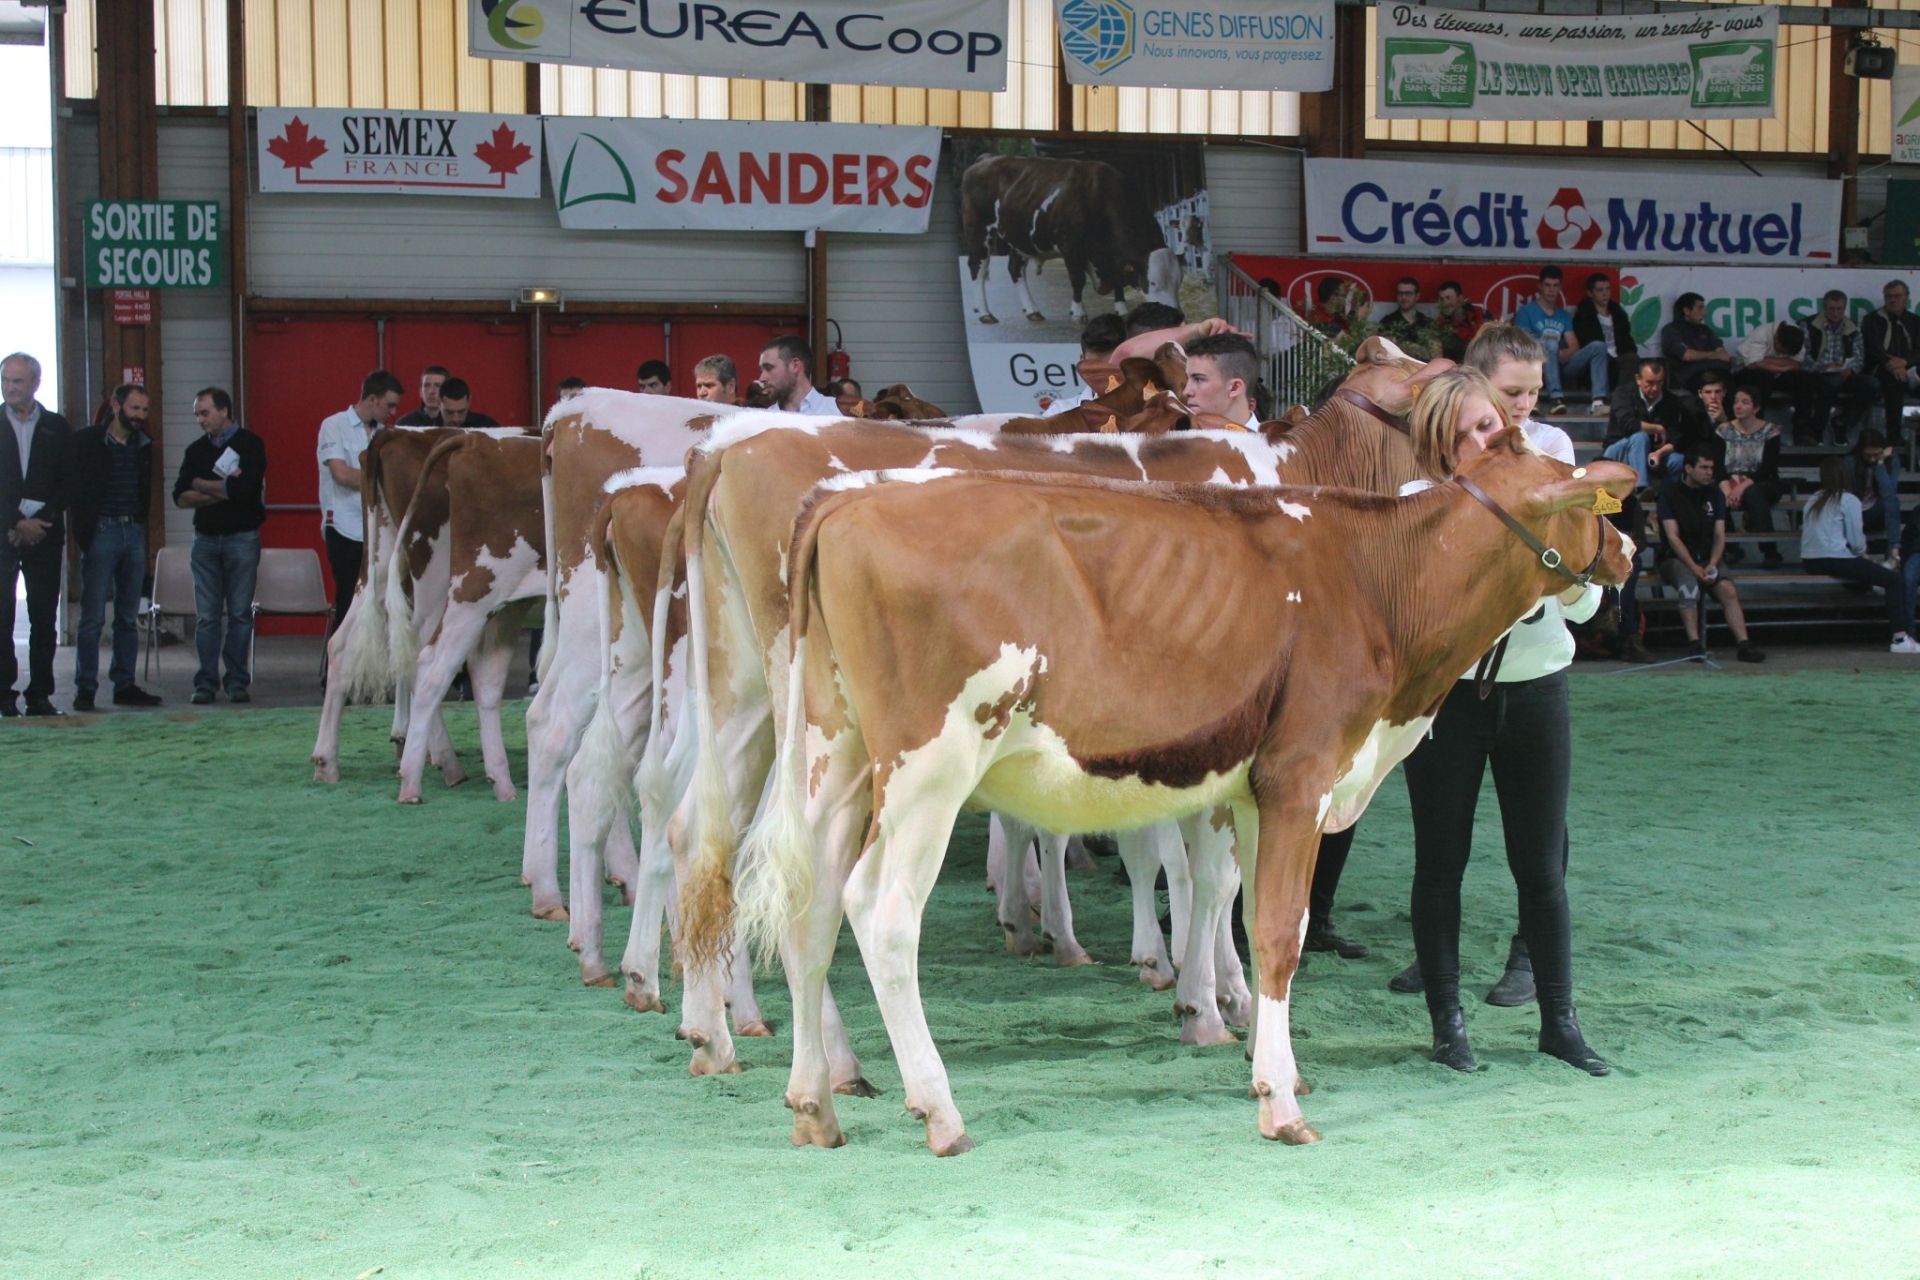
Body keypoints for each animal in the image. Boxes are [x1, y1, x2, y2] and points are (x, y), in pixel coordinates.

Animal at [721, 437, 1635, 1151]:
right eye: (1585, 492)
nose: (1627, 548)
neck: (1377, 580)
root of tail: (846, 502)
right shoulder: (1303, 774)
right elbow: (1277, 933)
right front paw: (1281, 1103)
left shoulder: (1257, 792)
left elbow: (1252, 914)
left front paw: (1263, 1061)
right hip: (928, 767)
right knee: (880, 913)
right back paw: (938, 1110)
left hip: (834, 758)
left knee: (809, 910)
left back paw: (815, 1105)